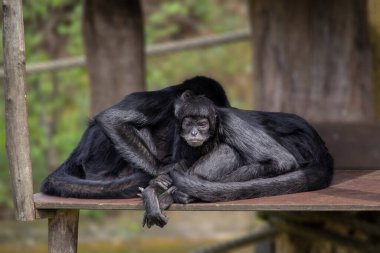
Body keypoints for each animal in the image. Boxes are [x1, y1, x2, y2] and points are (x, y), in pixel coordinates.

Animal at [141, 90, 334, 227]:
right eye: (188, 124)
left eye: (202, 124)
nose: (194, 133)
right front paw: (159, 185)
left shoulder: (230, 122)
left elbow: (282, 160)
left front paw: (172, 191)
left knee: (229, 149)